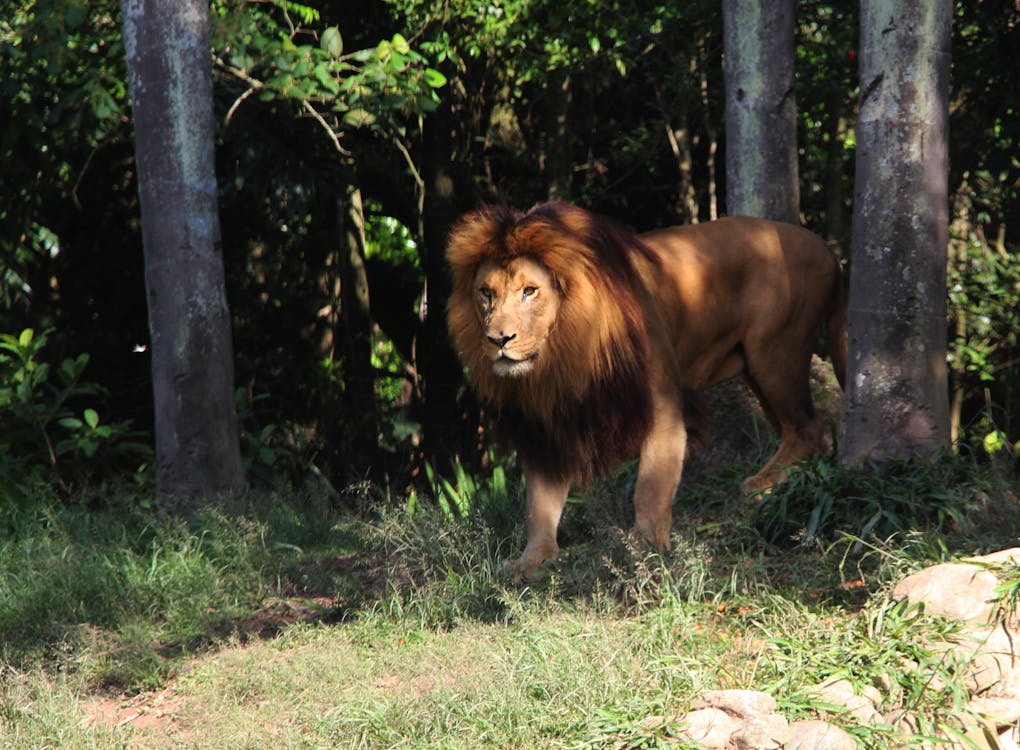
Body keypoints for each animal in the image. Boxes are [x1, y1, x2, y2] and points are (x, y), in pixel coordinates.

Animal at [446, 202, 844, 579]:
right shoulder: (548, 423)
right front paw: (533, 560)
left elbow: (649, 488)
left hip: (774, 354)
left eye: (530, 291)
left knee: (809, 429)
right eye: (486, 294)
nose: (498, 339)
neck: (563, 350)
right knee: (808, 434)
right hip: (758, 369)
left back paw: (760, 486)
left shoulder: (662, 407)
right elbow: (539, 504)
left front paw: (646, 547)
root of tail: (825, 248)